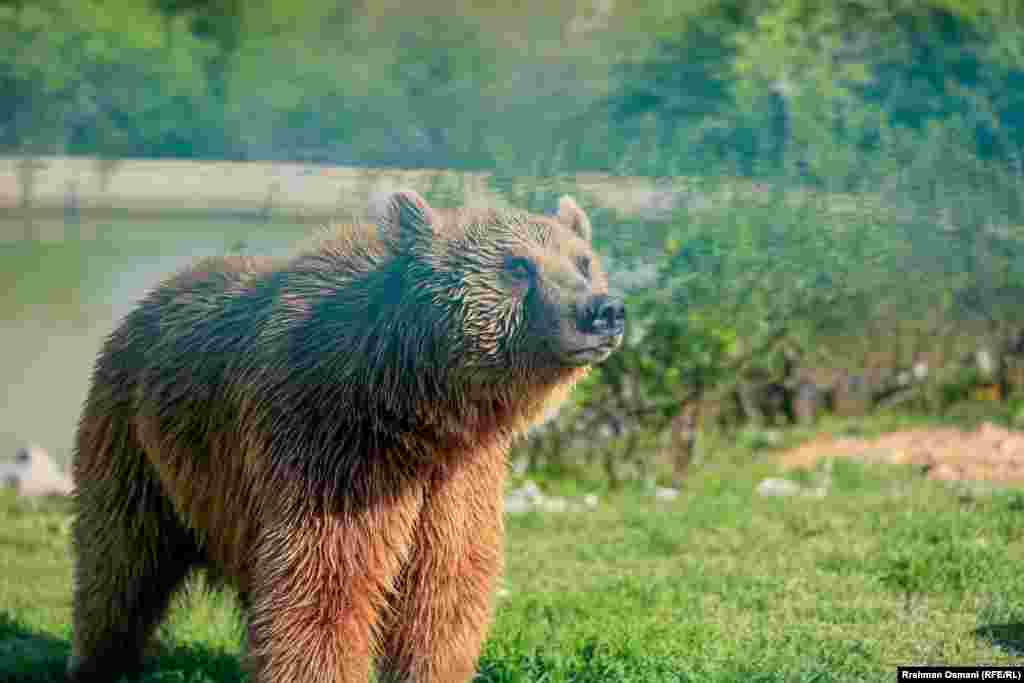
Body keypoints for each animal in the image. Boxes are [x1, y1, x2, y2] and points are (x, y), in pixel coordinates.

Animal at [68, 188, 622, 683]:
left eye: (583, 261)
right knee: (119, 562)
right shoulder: (334, 448)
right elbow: (324, 588)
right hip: (133, 436)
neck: (416, 406)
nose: (603, 310)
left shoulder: (458, 476)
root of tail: (151, 295)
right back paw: (103, 661)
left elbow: (444, 591)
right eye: (518, 267)